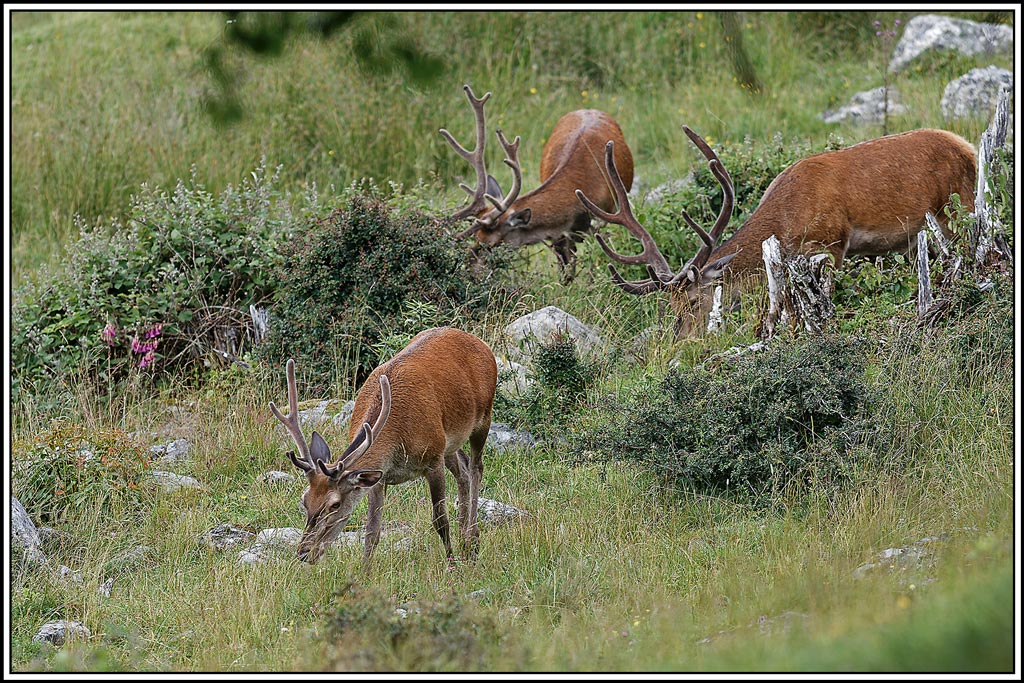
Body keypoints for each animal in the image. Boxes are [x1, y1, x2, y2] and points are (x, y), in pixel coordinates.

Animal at [270, 327, 497, 565]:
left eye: (335, 504)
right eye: (305, 500)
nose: (304, 553)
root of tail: (478, 341)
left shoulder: (433, 459)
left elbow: (440, 519)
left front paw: (451, 562)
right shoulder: (379, 478)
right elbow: (372, 531)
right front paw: (364, 571)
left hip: (483, 417)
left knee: (476, 468)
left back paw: (473, 541)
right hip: (449, 442)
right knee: (463, 470)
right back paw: (465, 540)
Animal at [441, 83, 634, 282]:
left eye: (492, 244)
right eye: (476, 237)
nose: (469, 270)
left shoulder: (603, 222)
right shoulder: (560, 236)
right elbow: (566, 275)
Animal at [576, 127, 977, 337]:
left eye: (691, 301)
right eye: (668, 304)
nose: (681, 337)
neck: (786, 220)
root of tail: (968, 146)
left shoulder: (833, 242)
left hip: (958, 209)